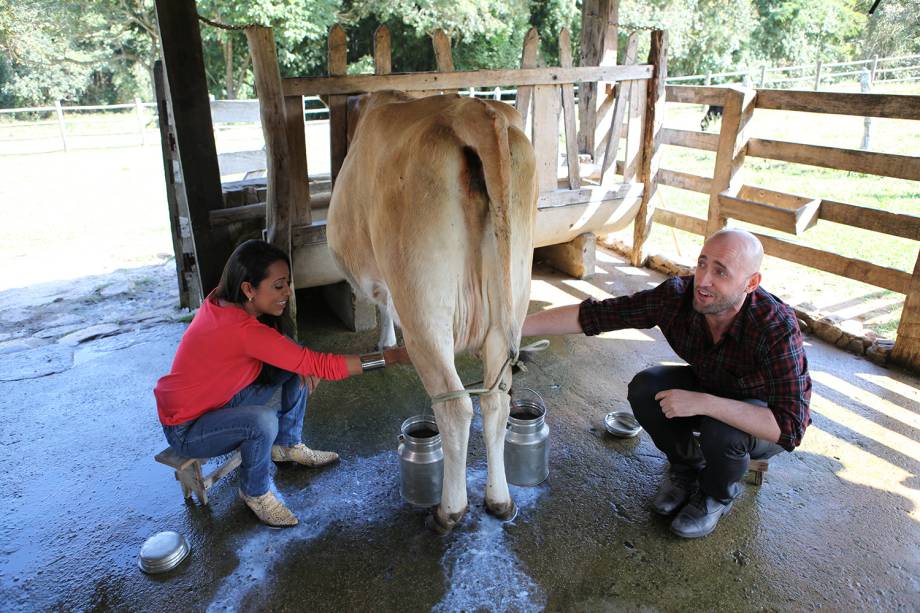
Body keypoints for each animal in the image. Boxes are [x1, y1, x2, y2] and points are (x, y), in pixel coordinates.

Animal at [328, 89, 540, 532]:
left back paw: (450, 510)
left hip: (424, 306)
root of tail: (475, 110)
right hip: (512, 296)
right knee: (496, 401)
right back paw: (500, 499)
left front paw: (387, 342)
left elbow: (382, 302)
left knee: (455, 406)